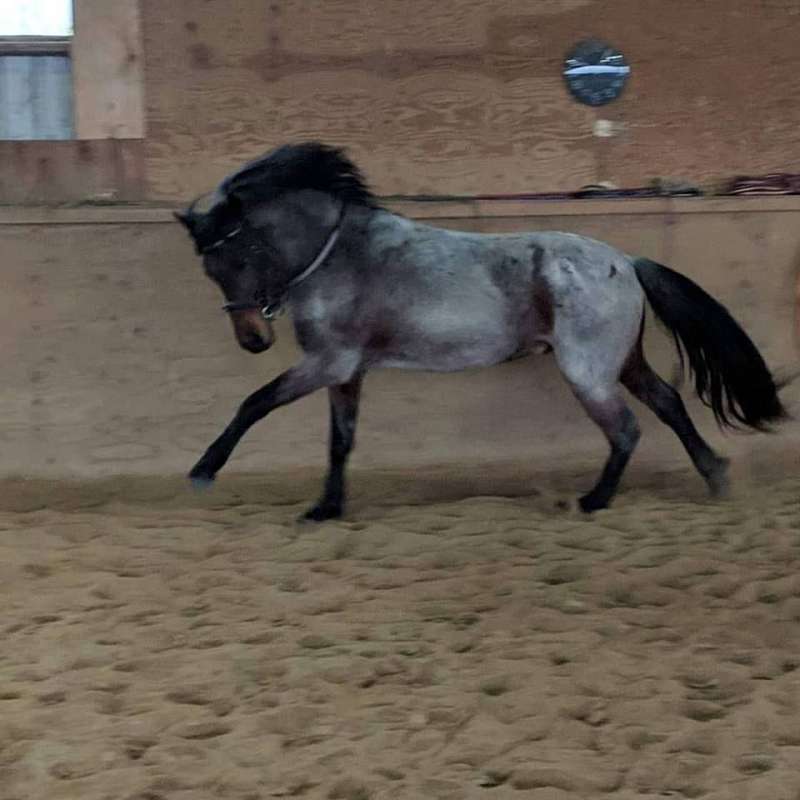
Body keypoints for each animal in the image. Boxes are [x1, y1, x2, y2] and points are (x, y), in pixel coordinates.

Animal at [174, 141, 786, 521]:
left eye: (244, 253)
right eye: (210, 268)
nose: (253, 339)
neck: (340, 257)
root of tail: (626, 262)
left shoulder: (327, 362)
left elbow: (254, 403)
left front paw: (202, 472)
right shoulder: (346, 371)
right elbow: (340, 439)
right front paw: (326, 509)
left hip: (587, 373)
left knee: (627, 430)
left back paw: (593, 501)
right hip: (624, 362)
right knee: (669, 405)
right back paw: (716, 475)